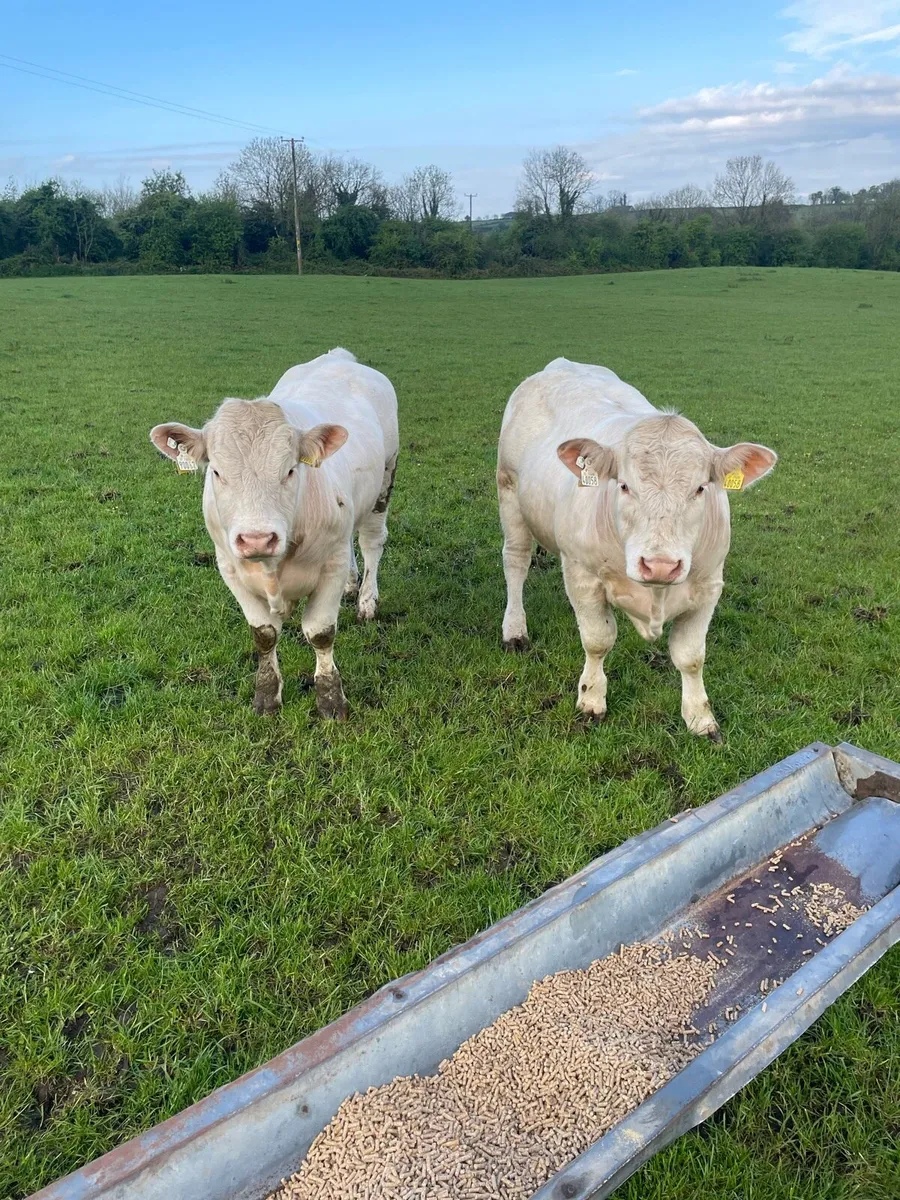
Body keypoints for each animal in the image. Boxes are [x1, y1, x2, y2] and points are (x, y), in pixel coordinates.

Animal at [150, 348, 398, 719]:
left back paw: (367, 599)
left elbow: (321, 633)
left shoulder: (332, 563)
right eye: (216, 472)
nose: (257, 539)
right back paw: (353, 585)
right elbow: (264, 634)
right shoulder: (229, 567)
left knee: (370, 542)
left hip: (385, 479)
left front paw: (331, 700)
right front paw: (267, 696)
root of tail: (339, 357)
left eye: (291, 470)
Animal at [497, 358, 776, 740]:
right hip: (509, 493)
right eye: (625, 486)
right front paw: (591, 700)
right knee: (516, 563)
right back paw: (515, 630)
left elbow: (691, 656)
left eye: (700, 488)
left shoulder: (709, 585)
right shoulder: (582, 574)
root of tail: (561, 364)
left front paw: (700, 718)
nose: (659, 565)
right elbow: (598, 640)